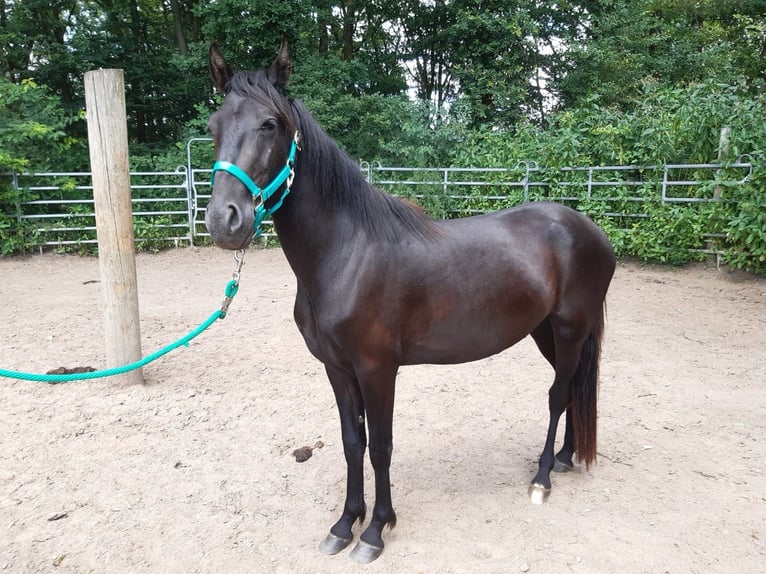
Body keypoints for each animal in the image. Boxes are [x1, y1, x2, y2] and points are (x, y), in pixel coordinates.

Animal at [204, 40, 616, 564]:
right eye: (214, 126)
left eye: (269, 124)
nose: (225, 220)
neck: (347, 253)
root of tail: (589, 230)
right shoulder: (338, 369)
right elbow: (352, 442)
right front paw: (344, 524)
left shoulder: (378, 369)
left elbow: (381, 446)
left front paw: (376, 530)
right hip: (547, 333)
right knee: (571, 390)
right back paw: (564, 458)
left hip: (568, 329)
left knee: (558, 394)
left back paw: (543, 477)